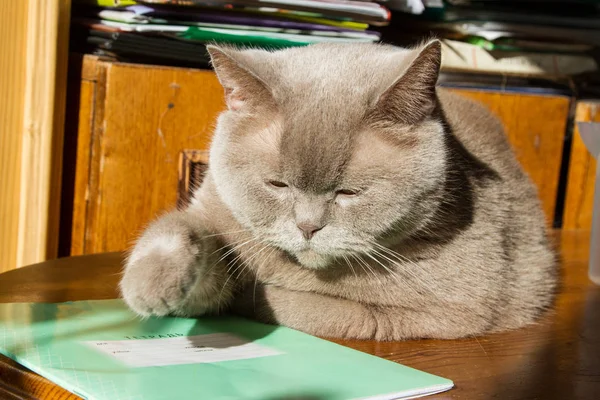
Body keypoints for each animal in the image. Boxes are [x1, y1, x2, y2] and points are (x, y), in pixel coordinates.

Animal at [120, 41, 556, 340]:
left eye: (349, 193)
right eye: (277, 184)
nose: (307, 227)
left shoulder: (438, 314)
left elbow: (297, 305)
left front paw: (258, 296)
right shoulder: (217, 216)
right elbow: (183, 231)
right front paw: (151, 282)